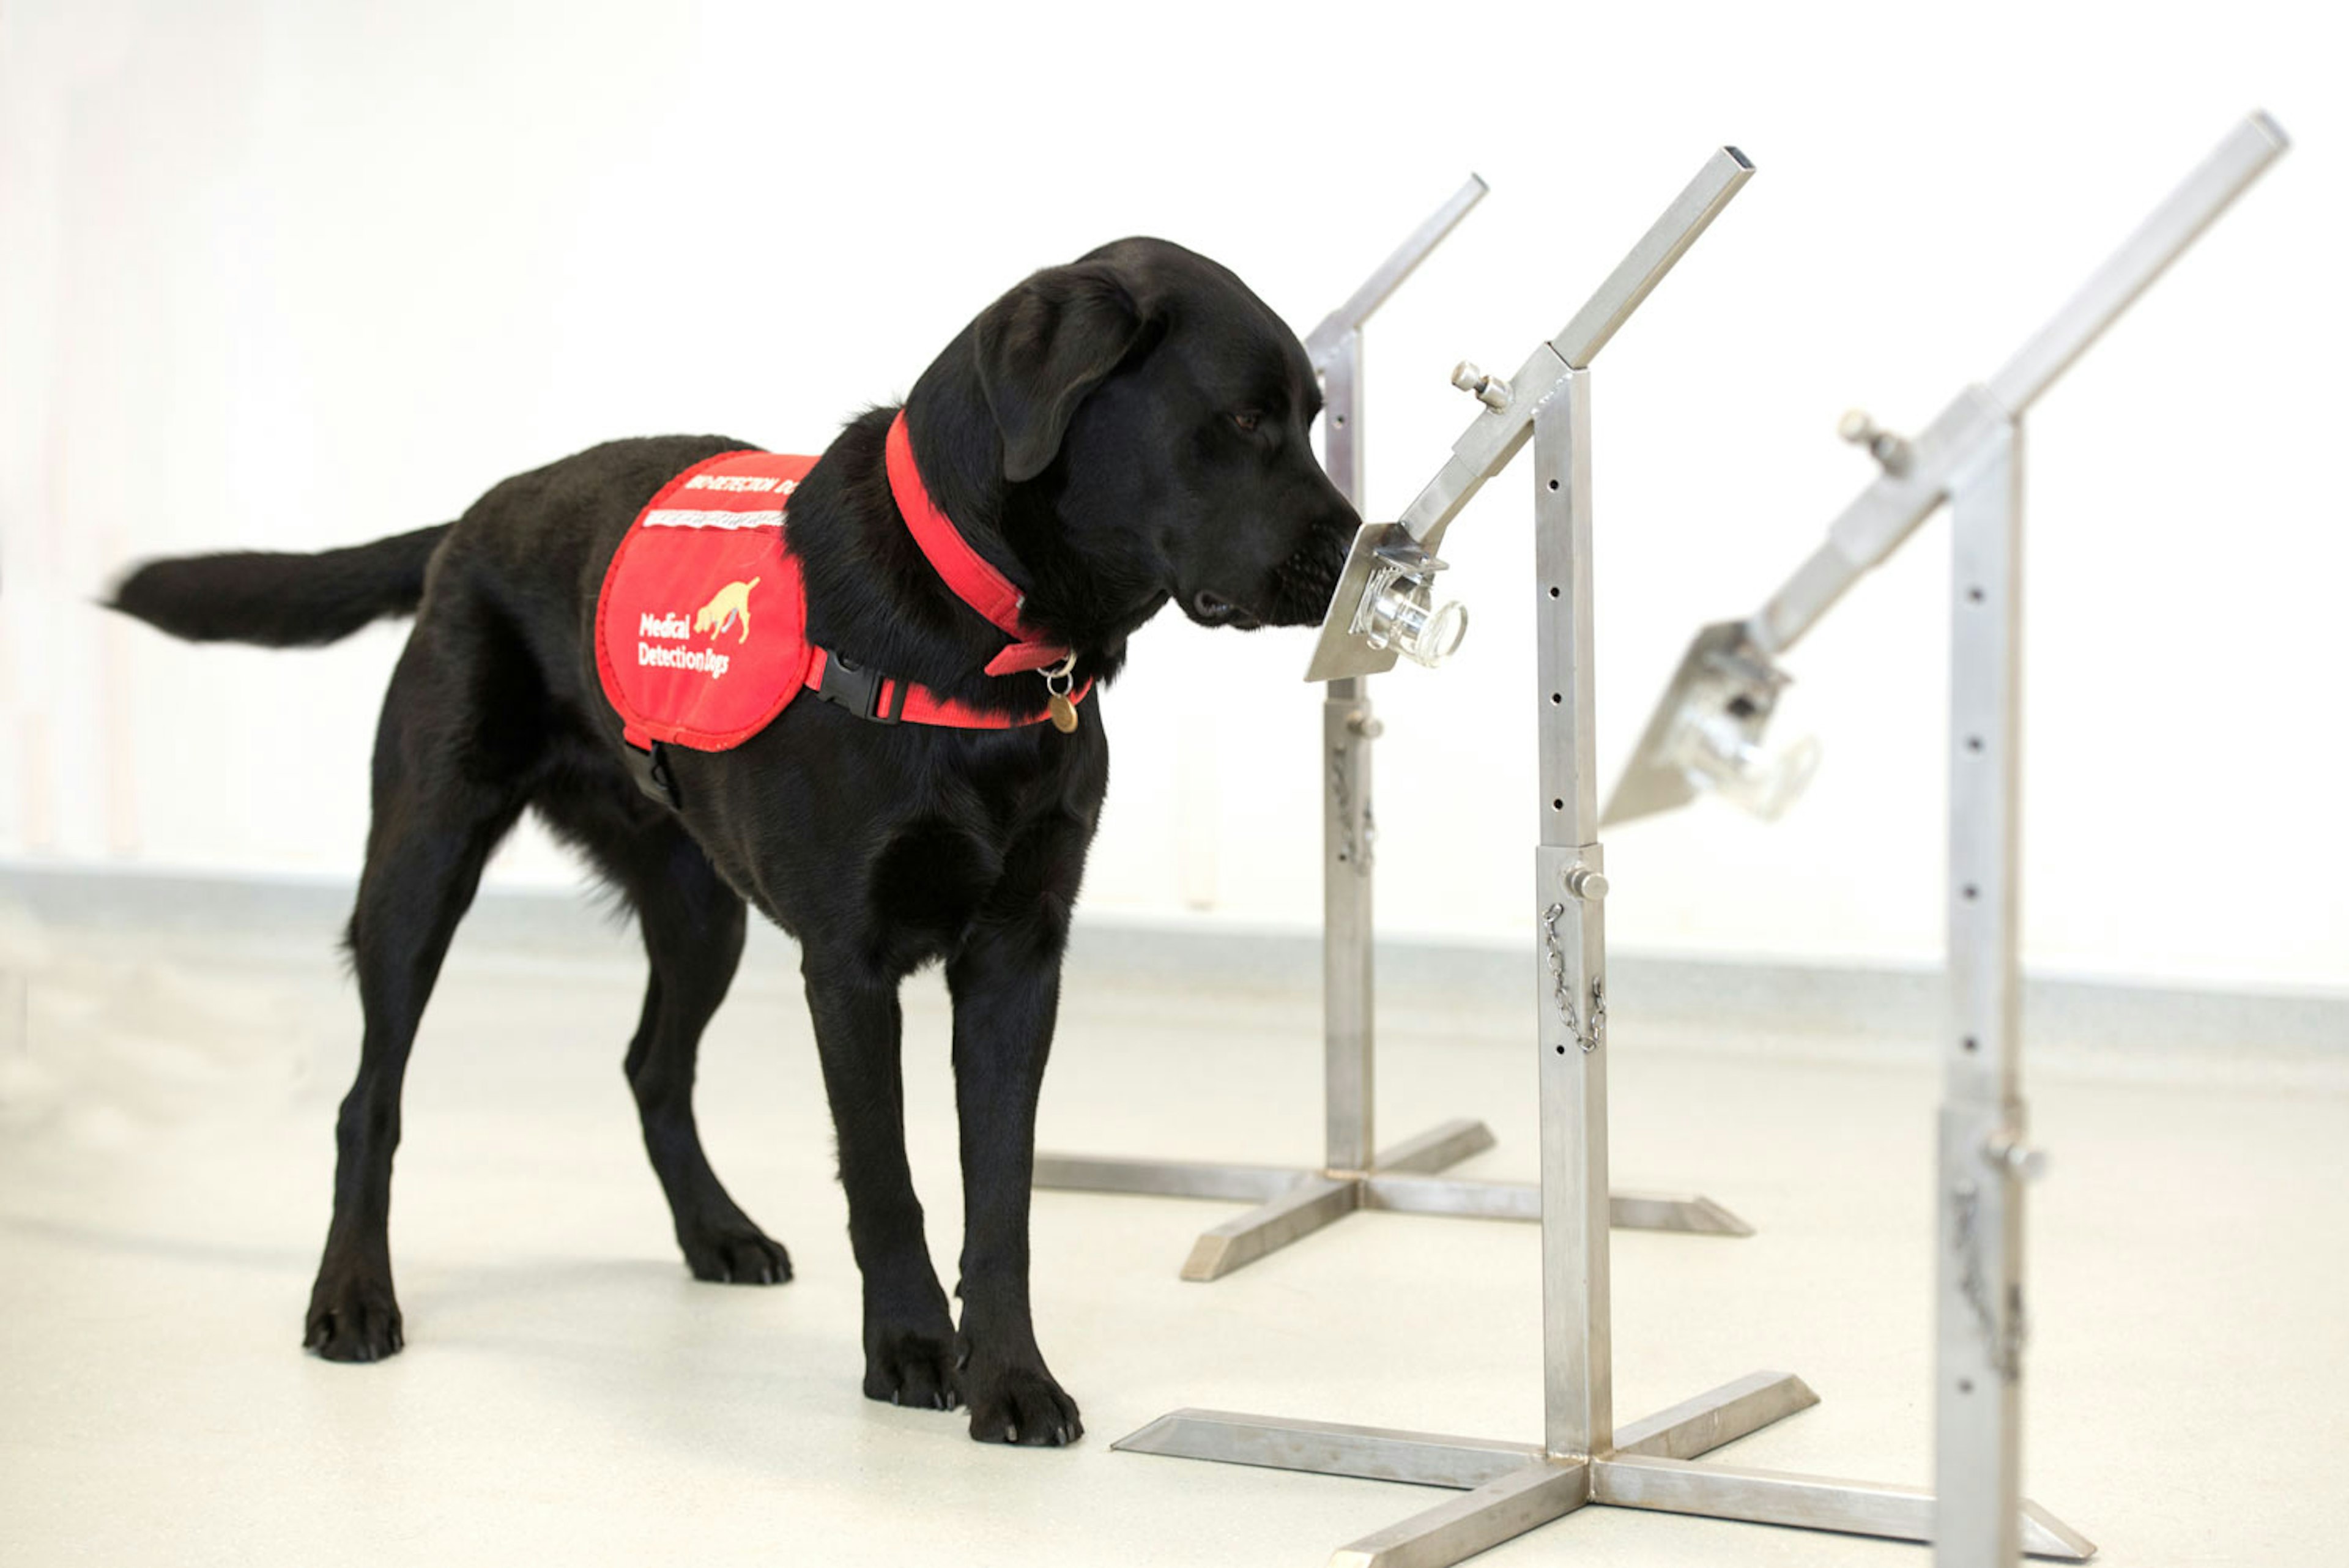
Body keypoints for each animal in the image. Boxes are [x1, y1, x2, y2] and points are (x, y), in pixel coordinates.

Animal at [110, 239, 1362, 1457]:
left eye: (1312, 417)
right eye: (1245, 419)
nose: (1366, 545)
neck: (982, 631)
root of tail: (474, 514)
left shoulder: (1020, 958)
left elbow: (1000, 1195)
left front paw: (1010, 1377)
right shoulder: (849, 964)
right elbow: (886, 1174)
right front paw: (913, 1350)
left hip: (699, 905)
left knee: (651, 1068)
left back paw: (717, 1231)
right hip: (422, 864)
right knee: (370, 1096)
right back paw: (353, 1297)